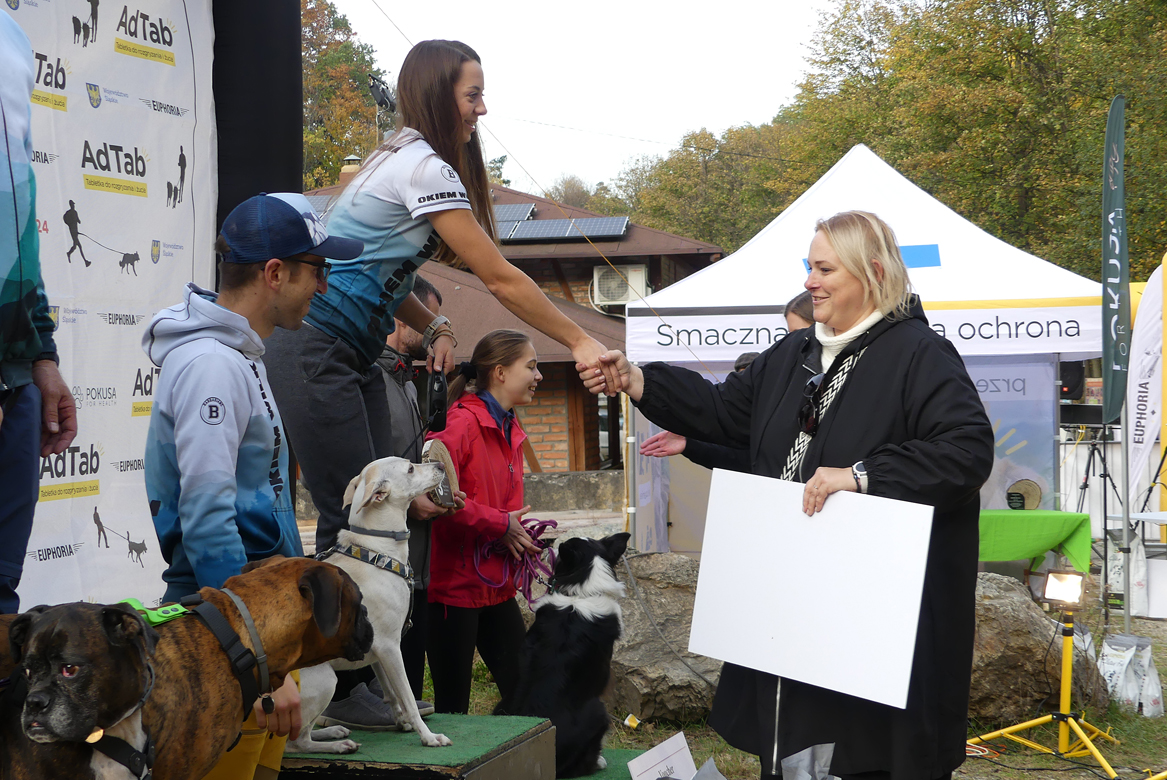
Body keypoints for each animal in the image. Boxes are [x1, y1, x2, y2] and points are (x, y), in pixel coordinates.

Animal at [287, 456, 452, 753]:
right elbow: (407, 697)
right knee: (297, 742)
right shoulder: (390, 646)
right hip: (326, 679)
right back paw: (337, 745)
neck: (377, 551)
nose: (441, 465)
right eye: (410, 468)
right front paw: (428, 736)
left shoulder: (377, 651)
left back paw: (333, 732)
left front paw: (400, 721)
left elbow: (391, 693)